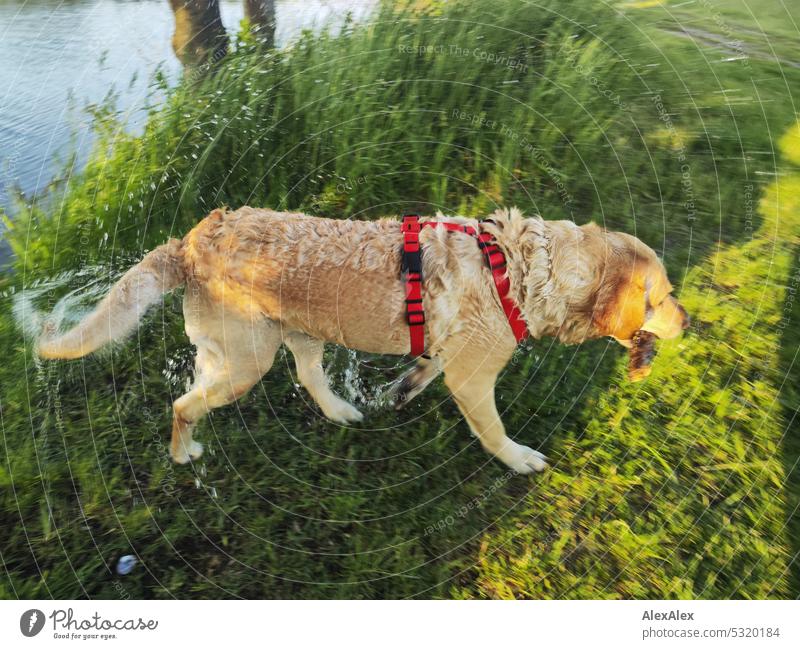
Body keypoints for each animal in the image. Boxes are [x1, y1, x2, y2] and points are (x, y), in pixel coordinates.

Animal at [37, 210, 688, 474]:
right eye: (661, 298)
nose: (689, 320)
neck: (521, 269)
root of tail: (192, 240)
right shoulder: (475, 378)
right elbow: (494, 431)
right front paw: (519, 458)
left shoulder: (452, 356)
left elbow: (425, 367)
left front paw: (403, 387)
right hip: (247, 361)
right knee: (183, 404)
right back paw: (183, 454)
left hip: (292, 336)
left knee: (304, 376)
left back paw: (342, 411)